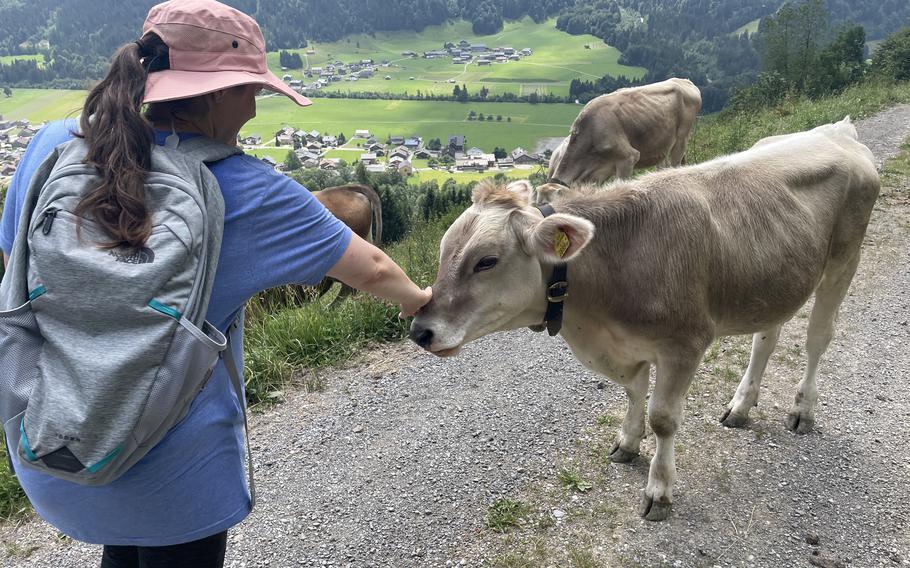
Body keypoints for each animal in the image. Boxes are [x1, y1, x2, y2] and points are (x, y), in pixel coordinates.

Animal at [414, 117, 884, 520]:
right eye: (444, 250)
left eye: (486, 261)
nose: (420, 329)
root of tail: (836, 131)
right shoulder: (624, 344)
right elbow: (632, 392)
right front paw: (627, 441)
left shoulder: (685, 344)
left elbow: (663, 418)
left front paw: (659, 490)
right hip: (777, 278)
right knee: (766, 339)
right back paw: (741, 405)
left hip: (844, 260)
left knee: (818, 337)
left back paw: (803, 410)